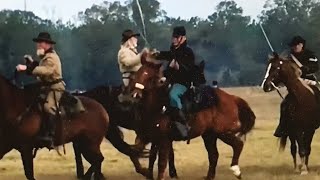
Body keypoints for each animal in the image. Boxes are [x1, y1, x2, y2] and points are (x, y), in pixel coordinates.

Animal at [127, 51, 255, 179]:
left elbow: (161, 164)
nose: (135, 95)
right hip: (209, 135)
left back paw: (236, 170)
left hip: (222, 132)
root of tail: (232, 98)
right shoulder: (148, 138)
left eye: (150, 77)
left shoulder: (164, 141)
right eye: (137, 74)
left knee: (237, 145)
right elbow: (142, 156)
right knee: (214, 155)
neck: (157, 106)